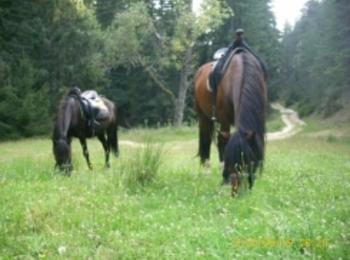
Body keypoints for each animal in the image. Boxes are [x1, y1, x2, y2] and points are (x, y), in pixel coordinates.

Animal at [194, 49, 268, 195]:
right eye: (230, 162)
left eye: (249, 162)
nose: (239, 191)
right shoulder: (224, 118)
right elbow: (223, 142)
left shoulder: (260, 117)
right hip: (203, 117)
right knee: (207, 140)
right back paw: (206, 171)